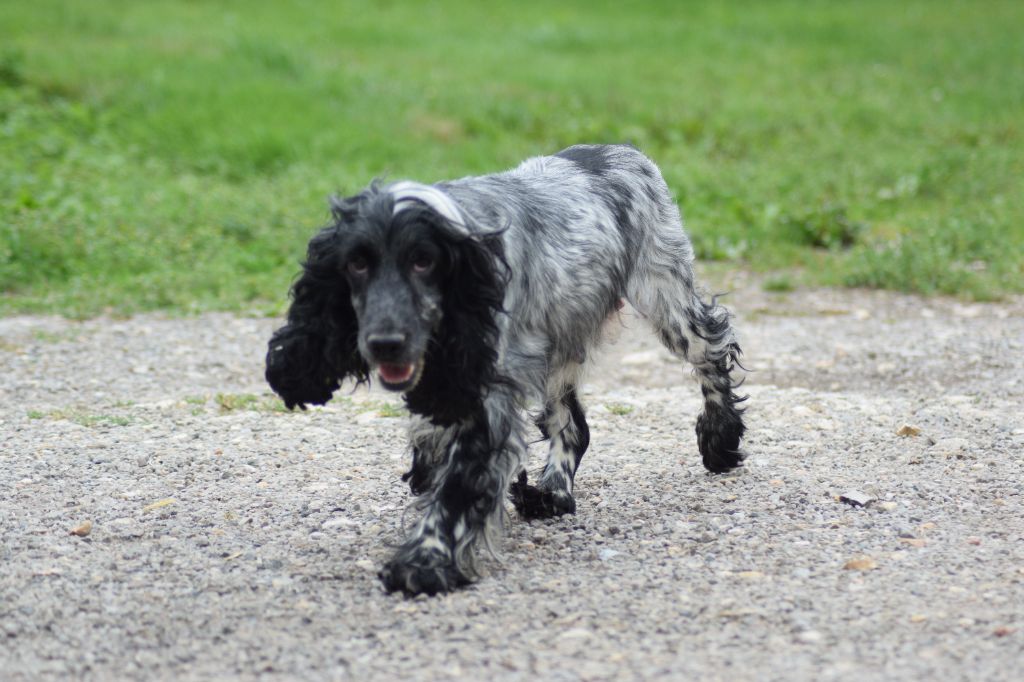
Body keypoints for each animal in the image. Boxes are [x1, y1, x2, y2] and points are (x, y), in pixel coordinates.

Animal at [264, 144, 745, 593]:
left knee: (712, 349)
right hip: (559, 341)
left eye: (423, 261)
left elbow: (459, 485)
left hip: (663, 294)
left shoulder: (485, 394)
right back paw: (551, 494)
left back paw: (719, 439)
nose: (384, 343)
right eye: (356, 263)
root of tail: (614, 149)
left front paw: (424, 562)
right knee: (571, 425)